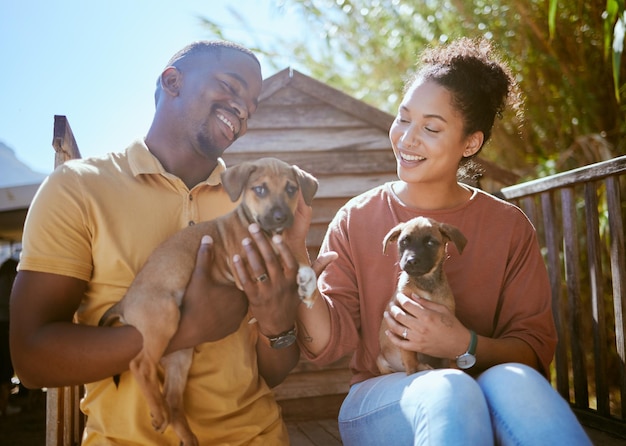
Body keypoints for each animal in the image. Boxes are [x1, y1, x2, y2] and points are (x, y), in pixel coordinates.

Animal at [100, 158, 320, 446]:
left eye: (292, 189)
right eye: (260, 189)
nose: (280, 217)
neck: (264, 232)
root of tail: (126, 302)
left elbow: (296, 259)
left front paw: (308, 283)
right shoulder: (245, 266)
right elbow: (284, 262)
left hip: (179, 358)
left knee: (174, 402)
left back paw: (186, 435)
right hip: (163, 318)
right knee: (140, 365)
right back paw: (158, 413)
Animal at [376, 216, 464, 376]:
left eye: (430, 243)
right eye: (404, 242)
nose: (411, 261)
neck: (425, 283)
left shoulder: (448, 317)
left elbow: (451, 352)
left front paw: (455, 368)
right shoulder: (404, 325)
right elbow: (409, 355)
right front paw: (412, 374)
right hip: (380, 361)